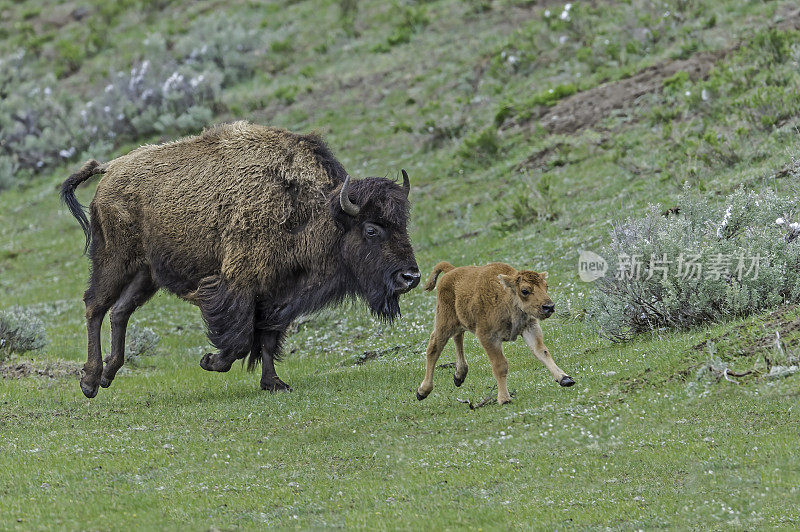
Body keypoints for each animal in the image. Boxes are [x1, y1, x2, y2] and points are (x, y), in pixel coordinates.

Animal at [61, 121, 418, 400]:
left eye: (403, 224)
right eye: (371, 229)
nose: (410, 277)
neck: (314, 210)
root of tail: (109, 169)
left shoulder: (278, 294)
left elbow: (268, 337)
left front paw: (274, 383)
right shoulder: (238, 285)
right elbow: (241, 338)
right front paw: (209, 361)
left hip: (146, 274)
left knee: (120, 311)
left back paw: (108, 375)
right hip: (114, 260)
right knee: (95, 306)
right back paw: (90, 381)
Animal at [416, 260, 572, 404]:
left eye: (546, 286)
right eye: (525, 291)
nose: (549, 307)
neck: (506, 297)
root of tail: (451, 271)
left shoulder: (530, 328)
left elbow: (542, 352)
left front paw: (565, 379)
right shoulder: (488, 337)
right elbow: (500, 365)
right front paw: (504, 398)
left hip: (458, 322)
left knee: (458, 338)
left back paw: (459, 376)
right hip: (444, 322)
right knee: (434, 348)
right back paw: (422, 391)